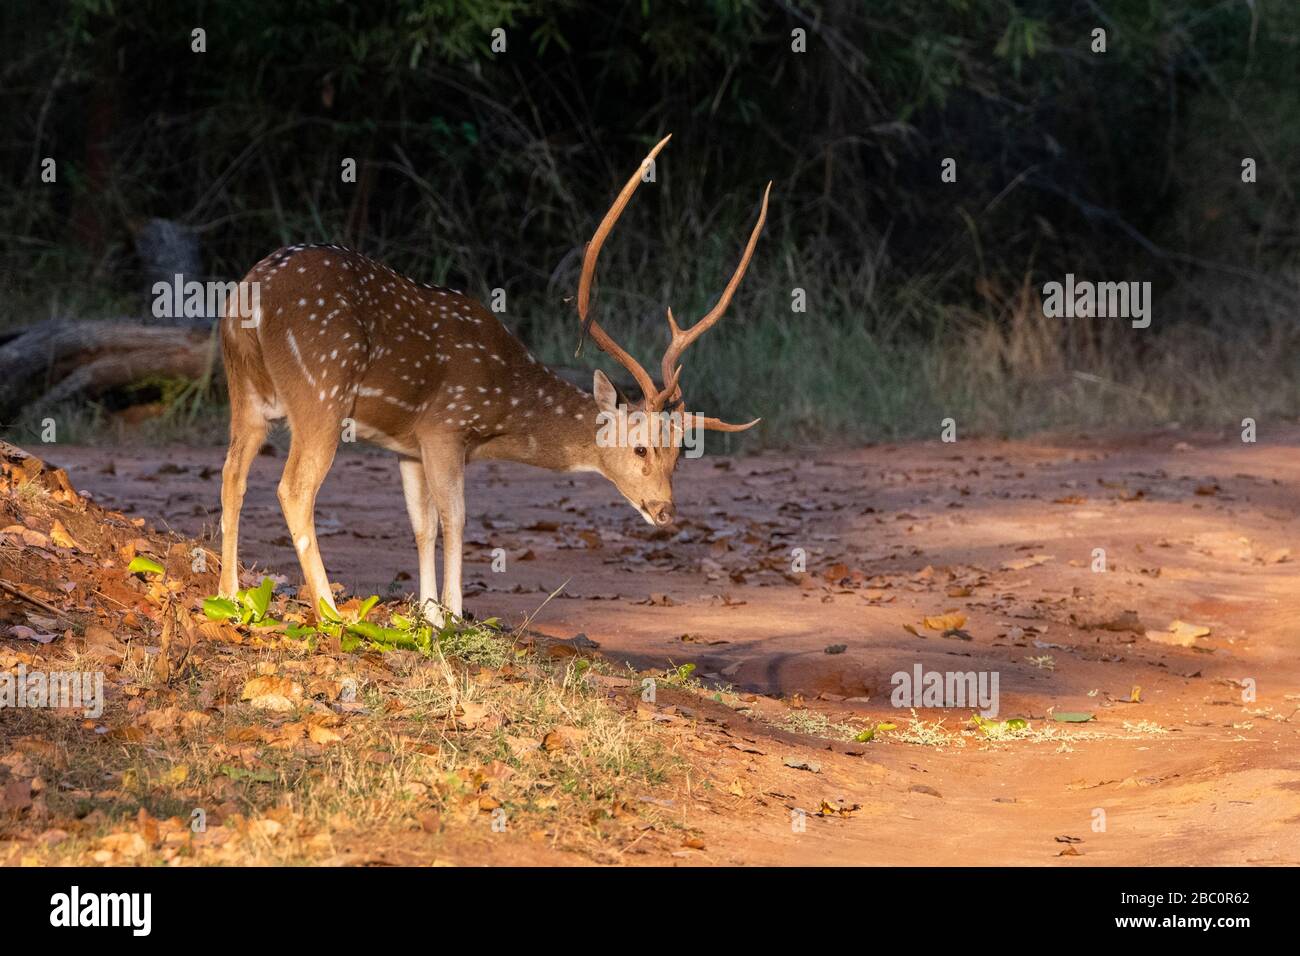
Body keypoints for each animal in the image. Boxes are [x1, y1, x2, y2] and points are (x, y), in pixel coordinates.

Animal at [217, 135, 770, 626]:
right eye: (640, 449)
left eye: (679, 456)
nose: (665, 511)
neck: (504, 403)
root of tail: (250, 293)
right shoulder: (445, 426)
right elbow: (457, 518)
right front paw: (453, 616)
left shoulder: (407, 446)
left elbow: (423, 525)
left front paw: (428, 615)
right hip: (322, 391)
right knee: (293, 489)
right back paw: (332, 613)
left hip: (246, 393)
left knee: (233, 475)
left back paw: (229, 596)